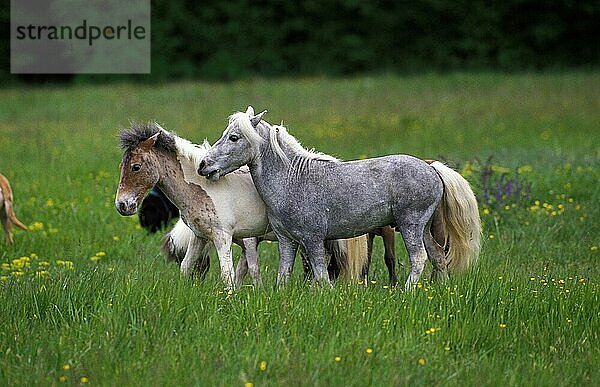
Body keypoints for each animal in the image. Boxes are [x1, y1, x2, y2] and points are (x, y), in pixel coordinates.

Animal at [200, 107, 482, 290]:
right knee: (437, 256)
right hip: (423, 228)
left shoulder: (313, 240)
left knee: (419, 258)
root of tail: (432, 168)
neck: (292, 180)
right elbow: (284, 276)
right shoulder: (287, 242)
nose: (203, 165)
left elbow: (322, 276)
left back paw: (407, 293)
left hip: (410, 225)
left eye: (234, 137)